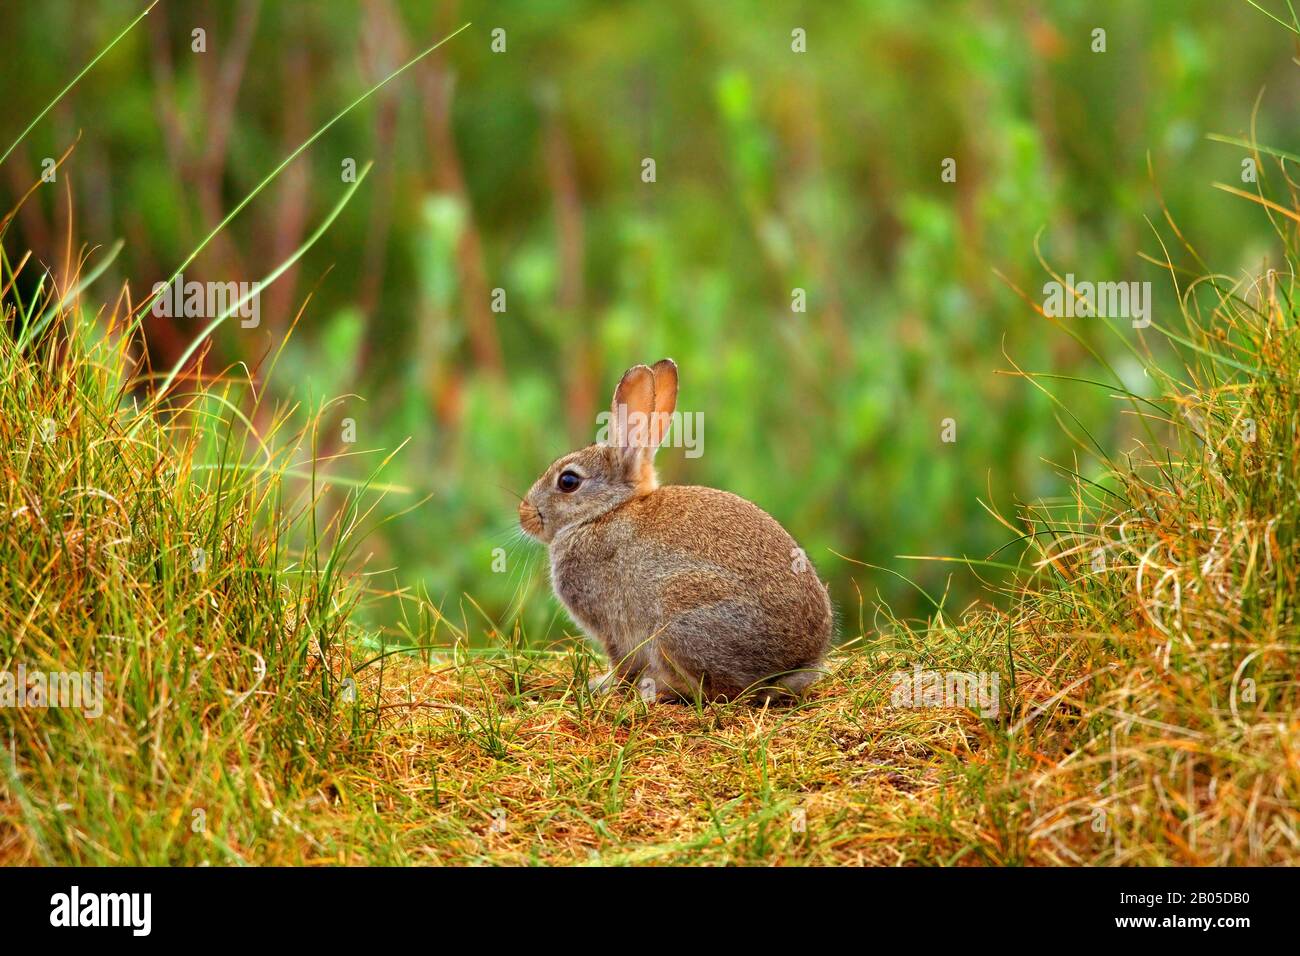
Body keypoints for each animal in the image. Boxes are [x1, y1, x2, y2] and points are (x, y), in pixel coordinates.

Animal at [517, 358, 832, 702]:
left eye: (568, 481)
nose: (524, 514)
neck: (604, 513)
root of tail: (794, 665)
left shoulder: (613, 626)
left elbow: (621, 663)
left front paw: (603, 686)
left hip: (678, 614)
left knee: (723, 691)